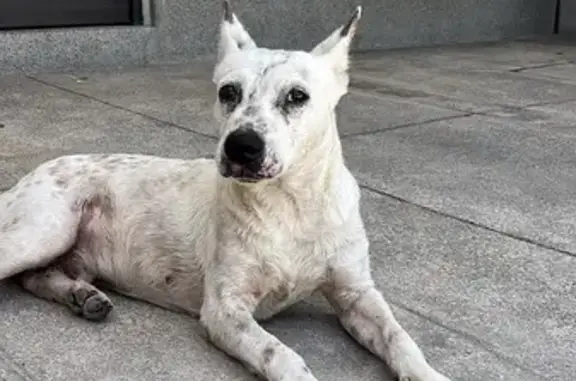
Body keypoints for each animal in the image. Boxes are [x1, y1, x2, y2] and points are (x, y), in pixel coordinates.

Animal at [0, 2, 450, 380]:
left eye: (297, 96)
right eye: (228, 92)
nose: (241, 146)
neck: (290, 207)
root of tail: (26, 178)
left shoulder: (356, 293)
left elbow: (400, 338)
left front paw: (427, 373)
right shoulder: (225, 309)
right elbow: (281, 355)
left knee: (35, 278)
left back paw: (82, 295)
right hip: (44, 230)